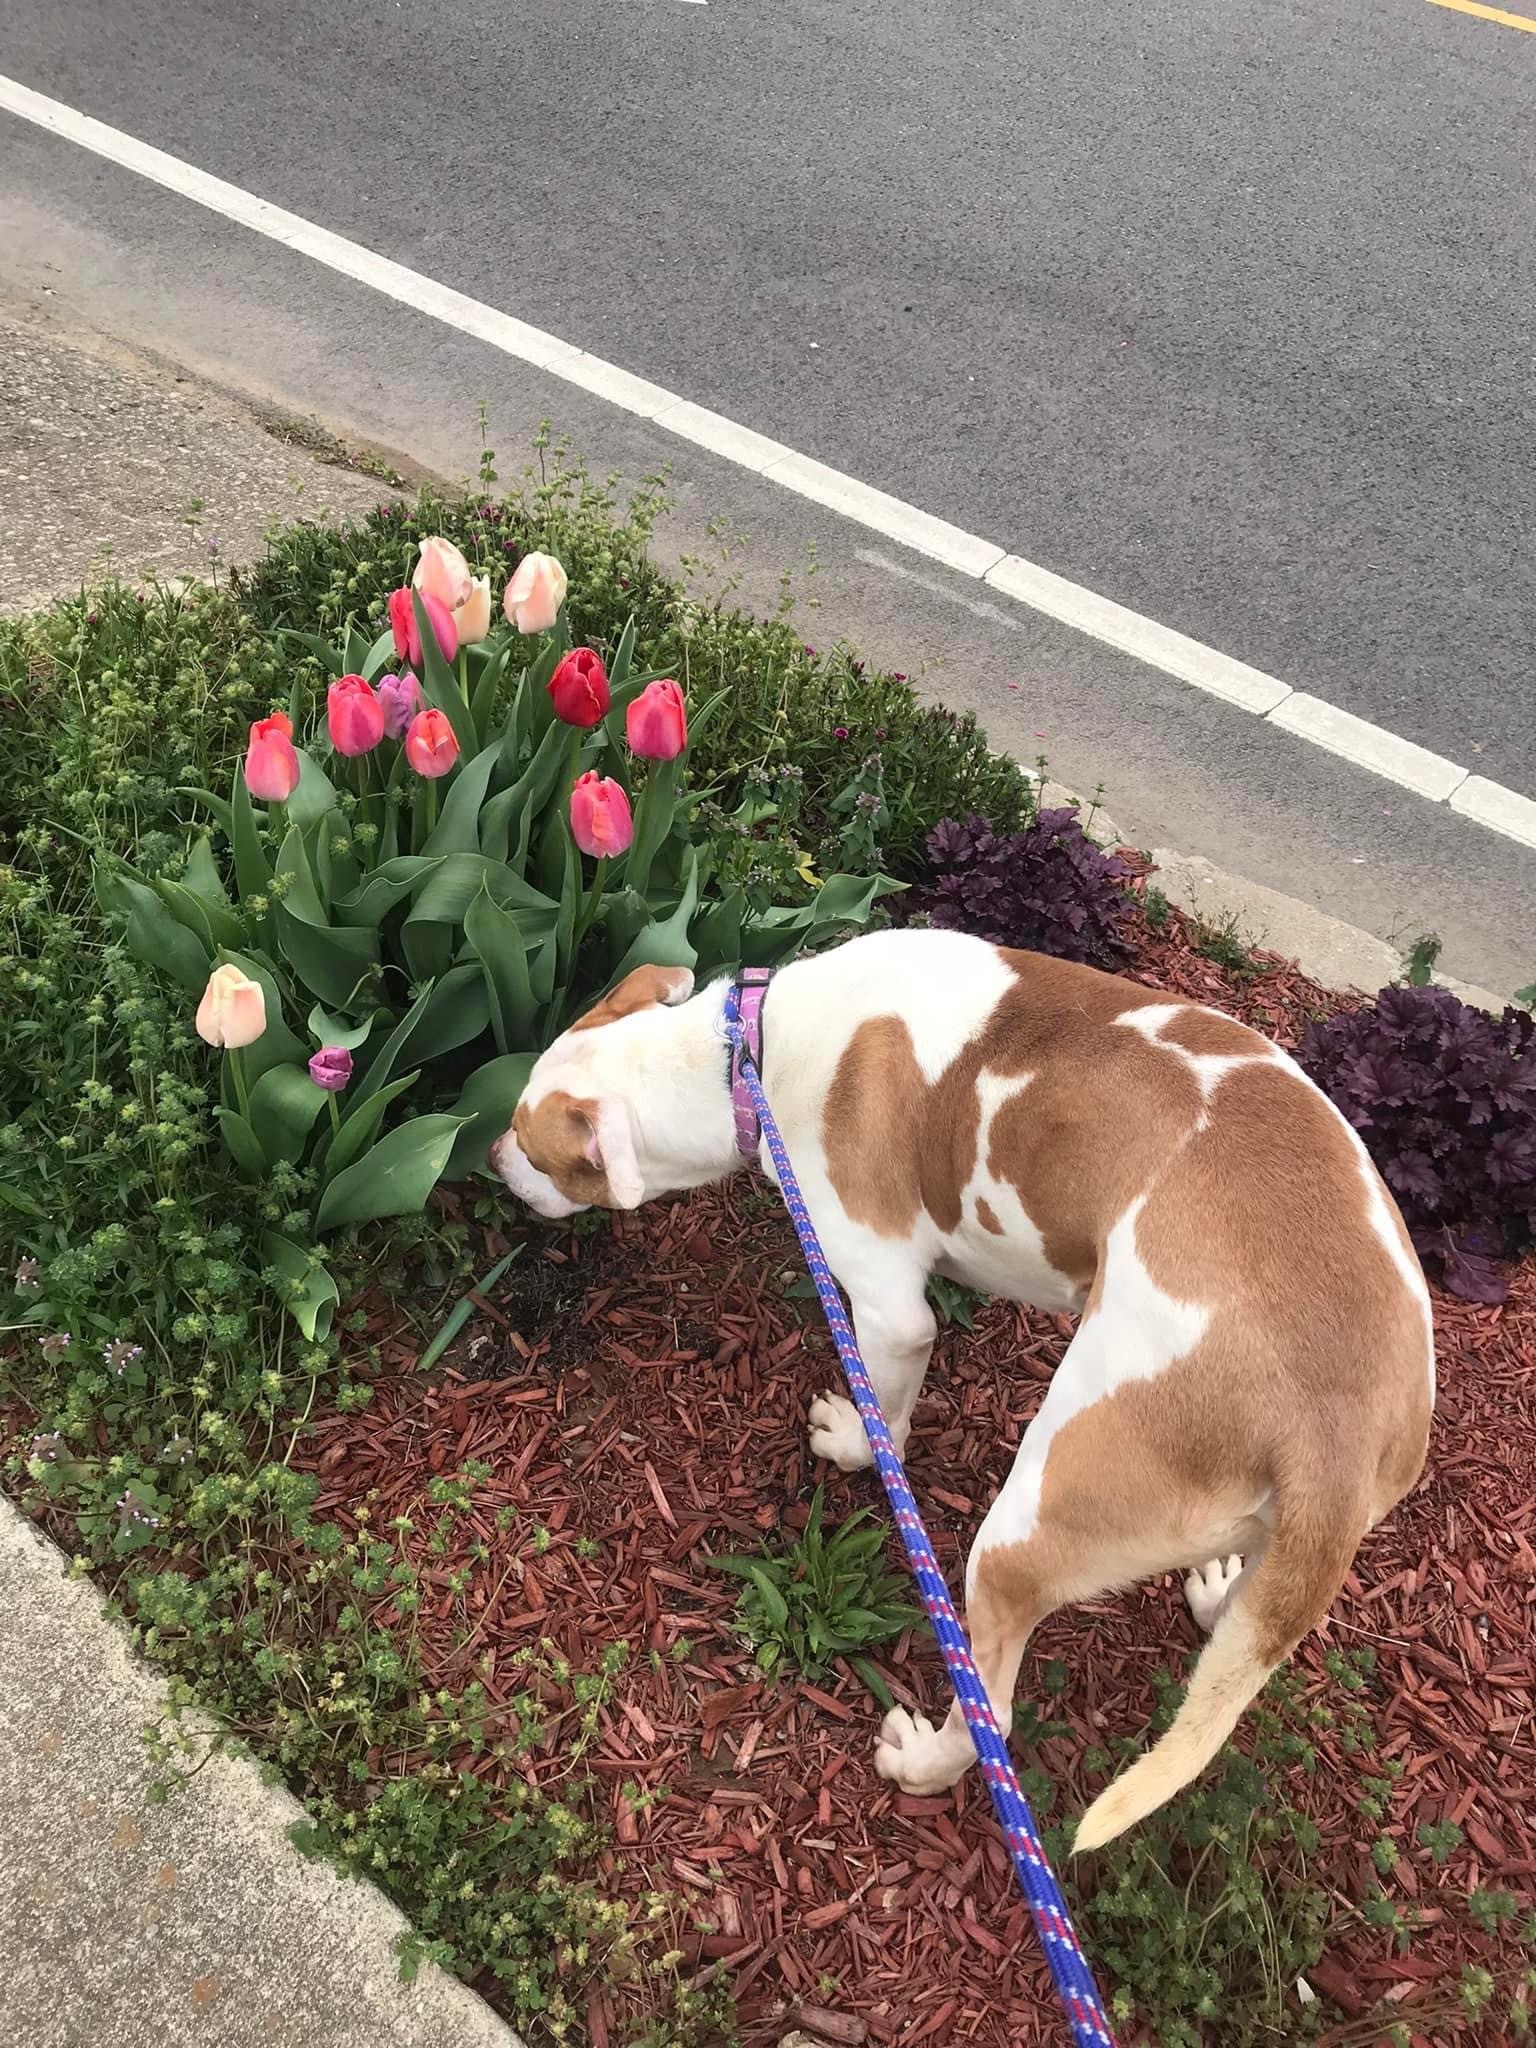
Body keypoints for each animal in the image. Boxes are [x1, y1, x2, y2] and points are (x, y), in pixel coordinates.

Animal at [487, 933, 1441, 1859]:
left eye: (530, 1148)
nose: (490, 1158)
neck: (746, 1054)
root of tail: (1333, 1434)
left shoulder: (888, 1313)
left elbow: (886, 1411)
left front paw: (855, 1443)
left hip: (1027, 1527)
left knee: (995, 1709)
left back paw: (926, 1762)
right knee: (1242, 1621)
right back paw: (1217, 1596)